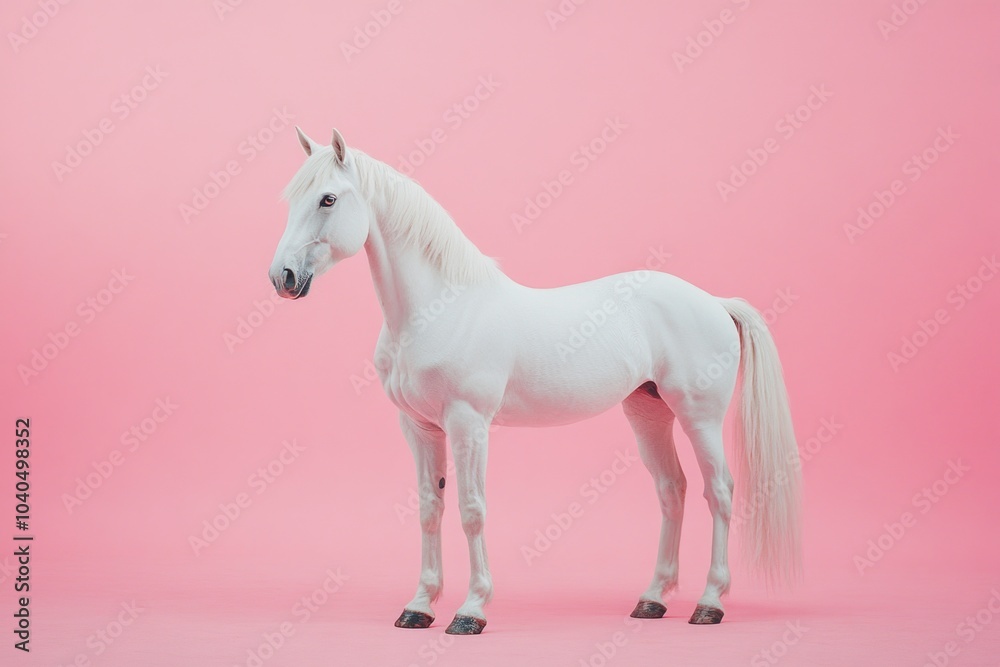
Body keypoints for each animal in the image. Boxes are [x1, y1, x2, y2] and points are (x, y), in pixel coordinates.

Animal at [268, 127, 802, 635]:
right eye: (293, 198)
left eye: (328, 199)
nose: (282, 277)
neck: (439, 309)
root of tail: (715, 302)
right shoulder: (419, 428)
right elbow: (429, 510)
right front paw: (418, 607)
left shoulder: (468, 424)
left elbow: (471, 510)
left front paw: (471, 611)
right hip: (648, 412)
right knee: (673, 490)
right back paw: (652, 599)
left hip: (699, 415)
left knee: (721, 492)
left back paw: (710, 603)